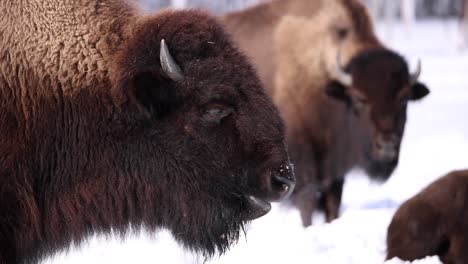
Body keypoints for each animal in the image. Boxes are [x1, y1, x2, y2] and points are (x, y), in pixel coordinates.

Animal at [225, 0, 430, 227]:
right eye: (359, 98)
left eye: (404, 98)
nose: (386, 147)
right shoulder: (300, 166)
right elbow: (307, 203)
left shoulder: (334, 172)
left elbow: (333, 205)